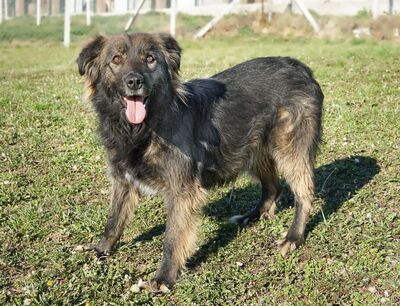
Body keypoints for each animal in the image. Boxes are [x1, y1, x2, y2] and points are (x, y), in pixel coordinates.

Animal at [76, 33, 324, 292]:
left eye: (150, 59)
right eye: (116, 59)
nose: (134, 81)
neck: (142, 129)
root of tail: (300, 67)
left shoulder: (182, 191)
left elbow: (172, 238)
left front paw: (165, 277)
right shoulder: (123, 181)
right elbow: (113, 221)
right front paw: (101, 250)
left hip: (290, 150)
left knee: (305, 193)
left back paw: (293, 237)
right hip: (253, 147)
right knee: (273, 187)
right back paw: (250, 217)